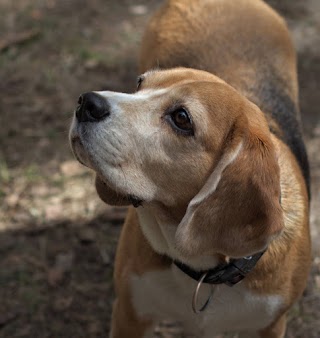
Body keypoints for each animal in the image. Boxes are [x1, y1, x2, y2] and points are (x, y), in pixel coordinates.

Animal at [69, 0, 312, 338]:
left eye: (182, 118)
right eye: (139, 84)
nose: (86, 102)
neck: (203, 268)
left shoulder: (271, 325)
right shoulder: (130, 313)